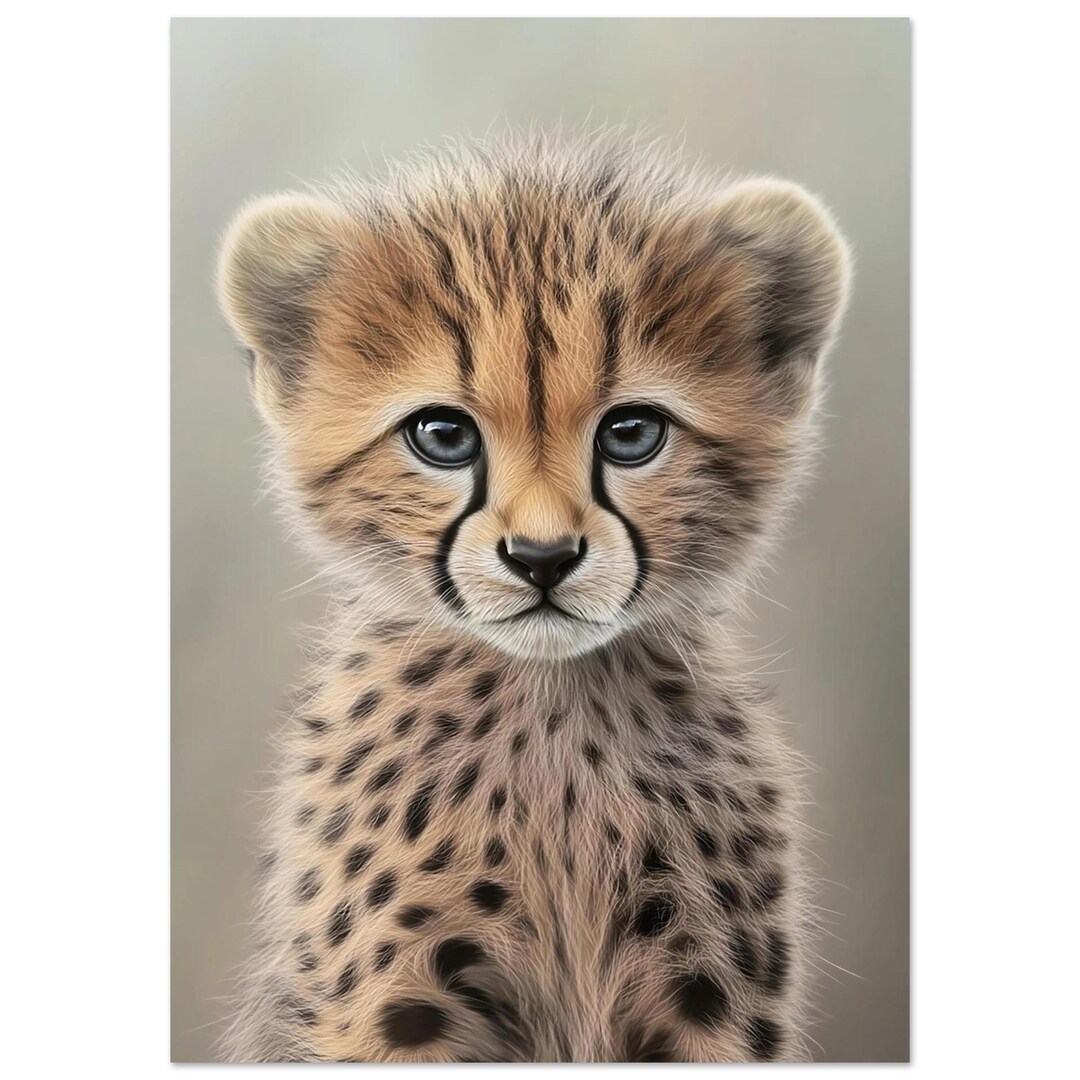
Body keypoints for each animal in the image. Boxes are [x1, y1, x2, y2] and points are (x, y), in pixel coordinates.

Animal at [213, 131, 851, 1062]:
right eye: (443, 436)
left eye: (632, 433)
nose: (542, 559)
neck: (552, 710)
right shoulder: (392, 1012)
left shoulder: (706, 1003)